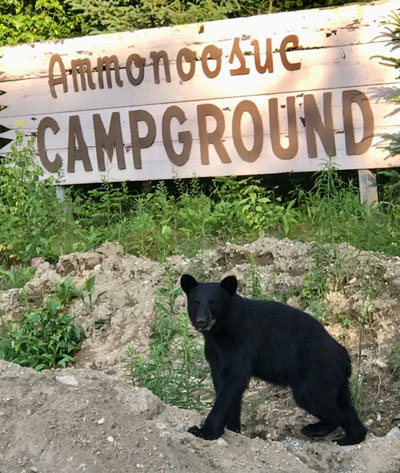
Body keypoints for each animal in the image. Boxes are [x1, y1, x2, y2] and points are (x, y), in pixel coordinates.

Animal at [180, 272, 368, 446]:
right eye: (195, 302)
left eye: (213, 302)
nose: (202, 321)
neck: (220, 332)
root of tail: (344, 355)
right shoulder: (214, 351)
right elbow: (222, 383)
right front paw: (232, 429)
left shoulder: (242, 341)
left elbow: (234, 381)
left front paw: (204, 431)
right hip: (334, 379)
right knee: (345, 404)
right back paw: (351, 437)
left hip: (317, 371)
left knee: (316, 400)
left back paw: (314, 429)